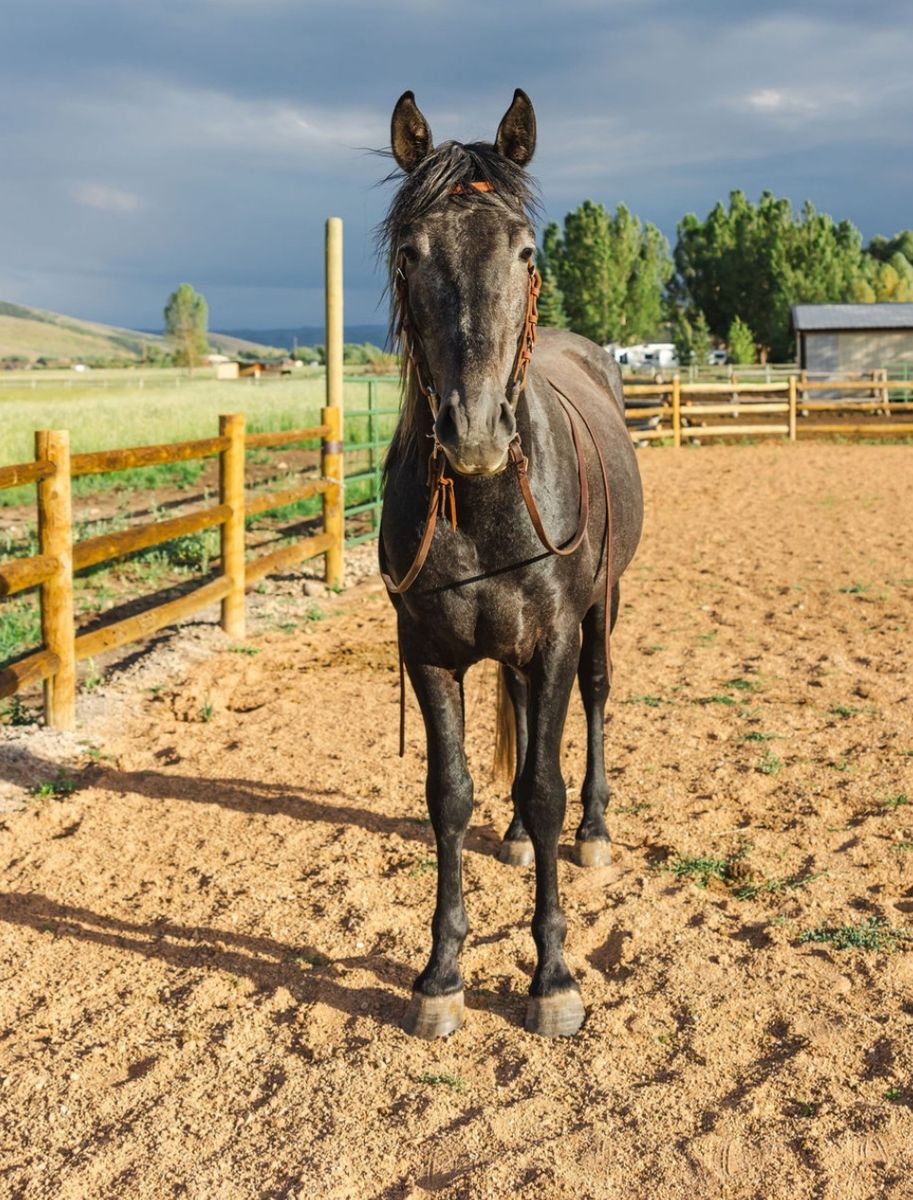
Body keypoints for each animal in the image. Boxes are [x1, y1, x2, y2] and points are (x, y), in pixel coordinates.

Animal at [378, 89, 644, 1038]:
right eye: (410, 253)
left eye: (526, 252)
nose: (475, 433)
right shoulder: (426, 650)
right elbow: (451, 797)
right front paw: (439, 976)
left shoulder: (557, 634)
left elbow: (543, 788)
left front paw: (553, 978)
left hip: (599, 610)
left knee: (593, 702)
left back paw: (593, 833)